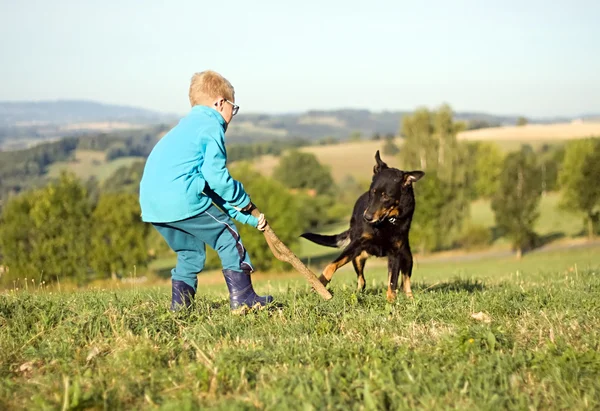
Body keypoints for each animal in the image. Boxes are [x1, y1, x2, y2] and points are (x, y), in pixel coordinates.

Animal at [298, 151, 422, 302]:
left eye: (386, 196)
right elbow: (331, 265)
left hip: (407, 256)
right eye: (372, 192)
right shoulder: (356, 244)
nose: (366, 217)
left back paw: (410, 299)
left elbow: (392, 282)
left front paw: (391, 302)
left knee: (405, 282)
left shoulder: (395, 253)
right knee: (362, 281)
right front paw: (320, 282)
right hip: (357, 257)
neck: (385, 222)